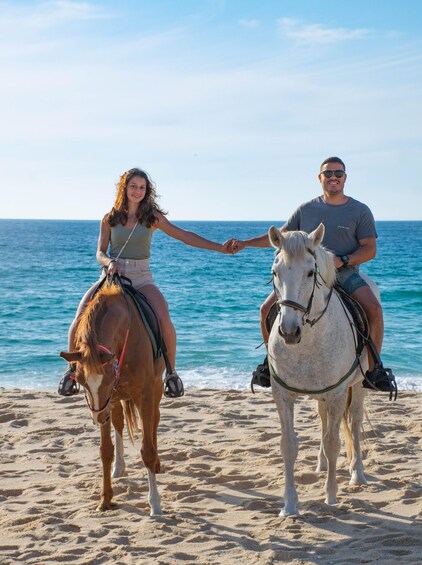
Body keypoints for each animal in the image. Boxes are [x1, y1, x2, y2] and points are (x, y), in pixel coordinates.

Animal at [60, 282, 164, 516]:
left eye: (107, 377)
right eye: (79, 379)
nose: (98, 418)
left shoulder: (145, 393)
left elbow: (147, 450)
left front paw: (154, 503)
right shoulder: (106, 401)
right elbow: (105, 451)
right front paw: (106, 499)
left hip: (156, 388)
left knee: (154, 420)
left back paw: (156, 464)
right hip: (115, 400)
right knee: (118, 422)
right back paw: (119, 467)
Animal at [268, 223, 370, 512]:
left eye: (310, 272)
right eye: (275, 272)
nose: (289, 332)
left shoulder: (337, 394)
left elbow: (334, 442)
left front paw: (331, 496)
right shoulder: (282, 395)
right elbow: (288, 446)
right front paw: (289, 505)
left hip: (358, 386)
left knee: (354, 423)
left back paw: (357, 474)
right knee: (324, 420)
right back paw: (322, 464)